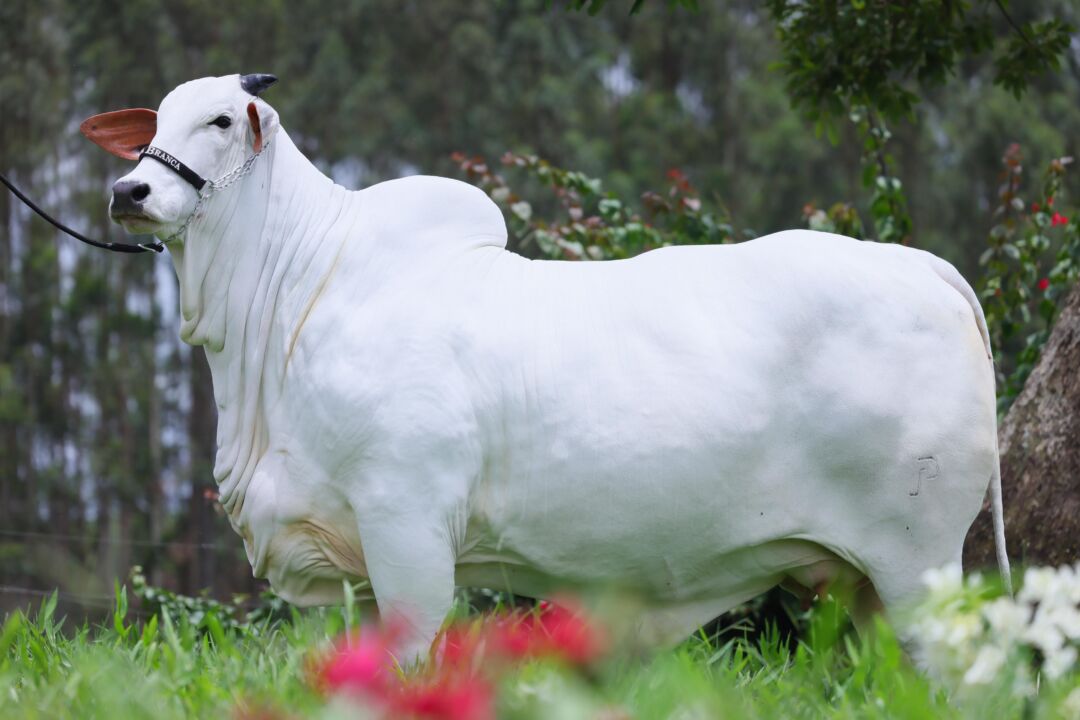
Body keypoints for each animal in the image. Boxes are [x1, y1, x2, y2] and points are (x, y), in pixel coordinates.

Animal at [82, 73, 1010, 663]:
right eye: (151, 125)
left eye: (220, 121)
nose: (130, 192)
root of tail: (924, 266)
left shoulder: (407, 526)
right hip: (865, 582)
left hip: (919, 555)